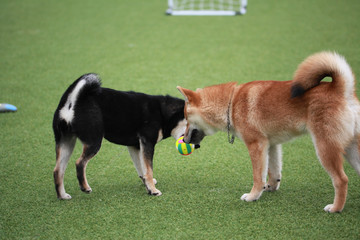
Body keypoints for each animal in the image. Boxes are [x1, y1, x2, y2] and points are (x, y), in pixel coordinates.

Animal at [53, 73, 188, 199]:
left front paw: (147, 186)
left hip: (66, 143)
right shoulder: (147, 142)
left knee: (57, 171)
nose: (193, 143)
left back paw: (62, 196)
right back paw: (85, 187)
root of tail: (73, 102)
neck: (162, 112)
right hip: (94, 141)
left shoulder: (134, 146)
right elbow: (148, 170)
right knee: (79, 163)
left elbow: (141, 168)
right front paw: (153, 190)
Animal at [177, 52, 360, 212]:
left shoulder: (256, 145)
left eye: (186, 118)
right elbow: (274, 170)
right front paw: (270, 187)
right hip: (351, 148)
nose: (183, 140)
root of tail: (341, 90)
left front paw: (253, 196)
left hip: (325, 147)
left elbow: (258, 176)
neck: (231, 104)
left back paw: (336, 208)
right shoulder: (271, 144)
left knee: (341, 180)